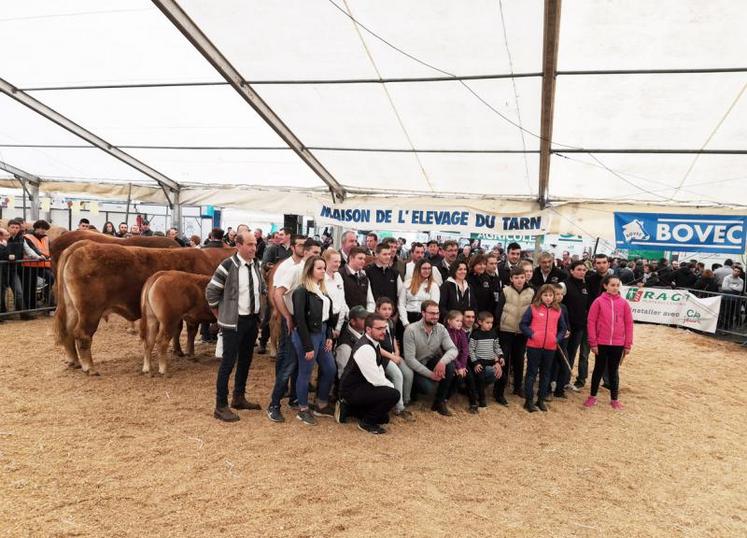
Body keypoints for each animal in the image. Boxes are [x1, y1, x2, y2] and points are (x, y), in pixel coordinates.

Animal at [54, 241, 234, 374]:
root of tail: (80, 246)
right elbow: (189, 330)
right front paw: (188, 352)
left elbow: (180, 331)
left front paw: (180, 351)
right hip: (90, 311)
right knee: (82, 335)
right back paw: (89, 368)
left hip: (72, 308)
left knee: (68, 332)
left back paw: (74, 361)